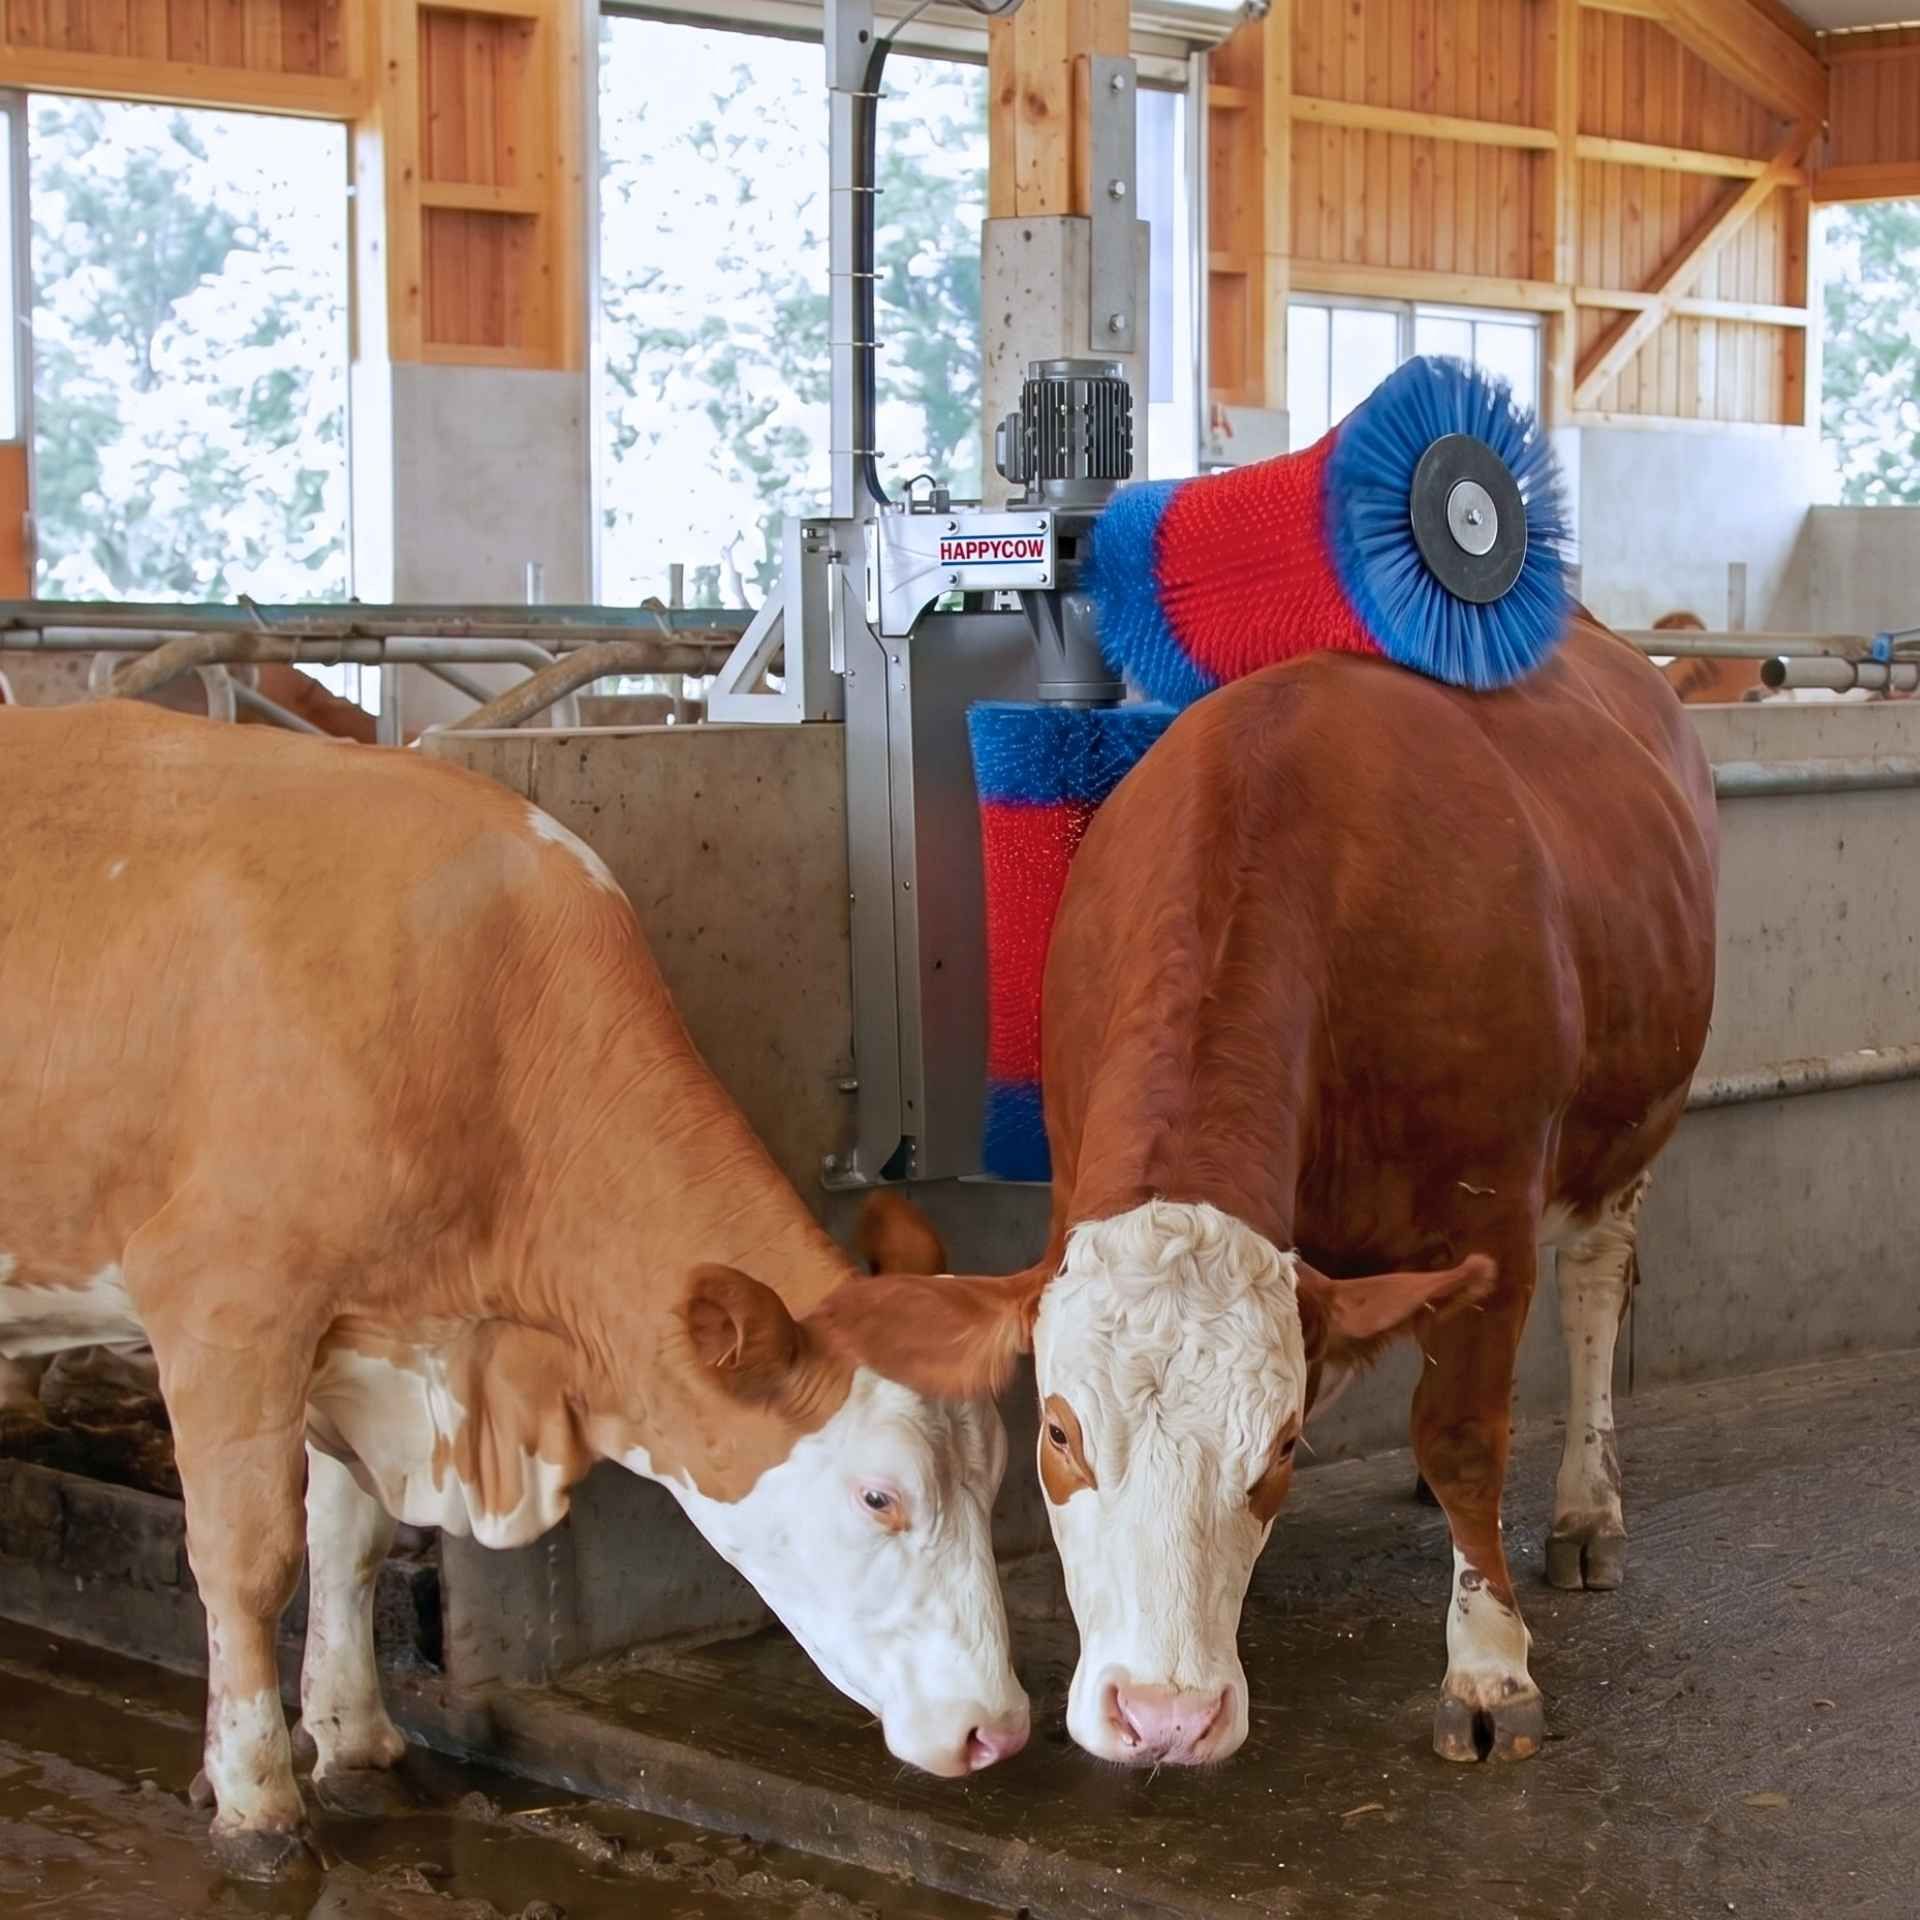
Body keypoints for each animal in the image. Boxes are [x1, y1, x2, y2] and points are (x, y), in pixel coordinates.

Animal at [0, 700, 1028, 1880]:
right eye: (877, 1497)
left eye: (996, 1475)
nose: (998, 1730)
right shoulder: (225, 1301)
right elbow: (250, 1560)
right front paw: (255, 1799)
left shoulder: (360, 1331)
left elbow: (345, 1541)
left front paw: (356, 1742)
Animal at [884, 612, 1718, 1770]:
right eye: (1057, 1432)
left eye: (1280, 1448)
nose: (1165, 1715)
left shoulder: (1494, 1210)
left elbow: (1464, 1437)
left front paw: (1489, 1666)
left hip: (1633, 1131)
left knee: (1596, 1291)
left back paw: (1585, 1509)